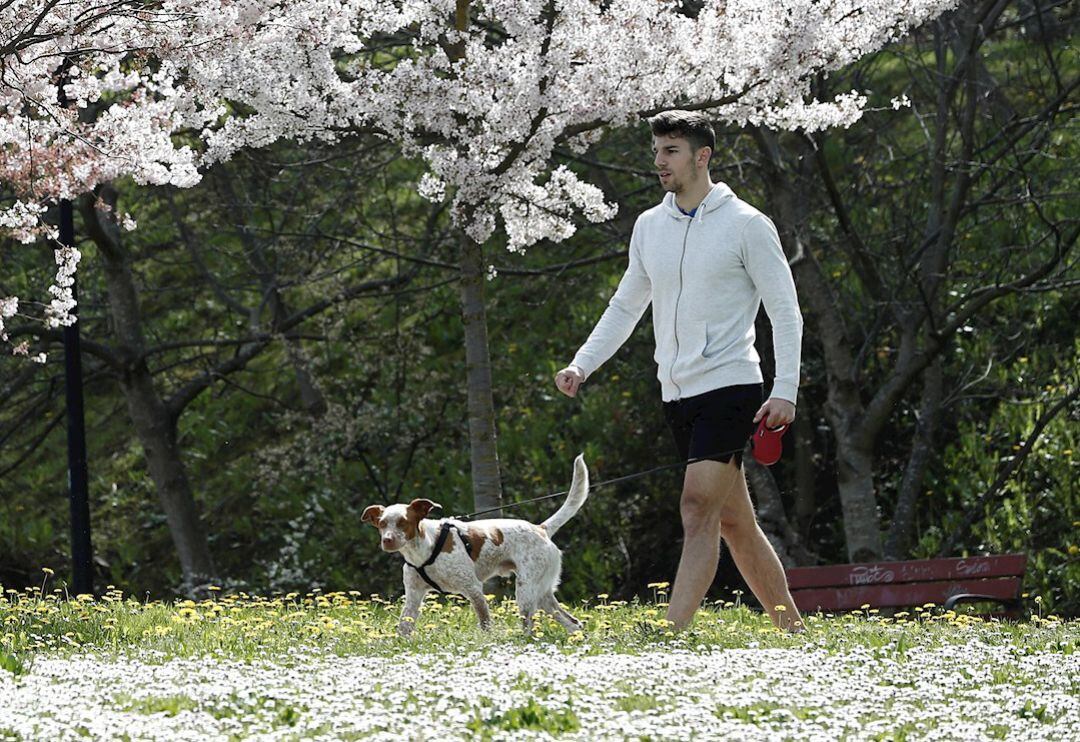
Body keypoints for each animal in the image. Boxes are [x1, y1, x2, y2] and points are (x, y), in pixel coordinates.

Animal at [360, 455, 591, 635]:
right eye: (382, 524)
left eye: (403, 522)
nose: (387, 540)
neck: (424, 551)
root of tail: (540, 528)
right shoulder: (413, 597)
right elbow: (404, 628)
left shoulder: (473, 589)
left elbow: (485, 624)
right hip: (542, 594)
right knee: (574, 624)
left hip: (526, 592)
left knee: (530, 628)